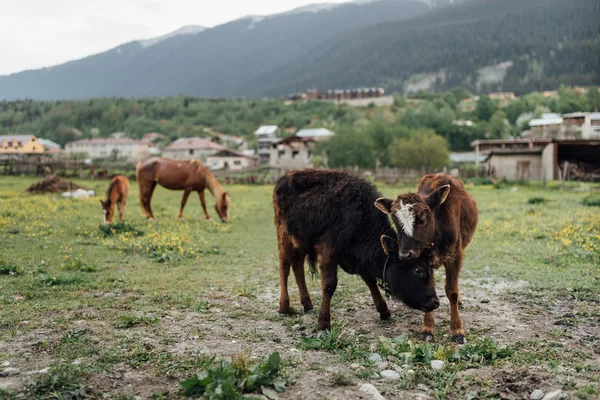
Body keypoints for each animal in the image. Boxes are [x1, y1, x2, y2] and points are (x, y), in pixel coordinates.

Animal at [376, 173, 478, 344]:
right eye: (396, 222)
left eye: (422, 220)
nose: (404, 254)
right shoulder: (424, 261)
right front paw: (428, 327)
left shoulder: (455, 256)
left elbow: (452, 291)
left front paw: (457, 330)